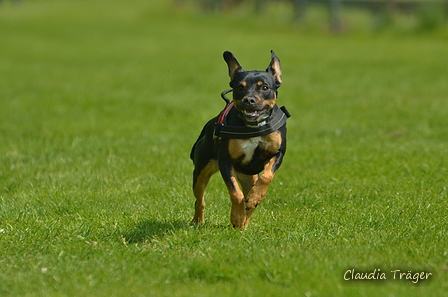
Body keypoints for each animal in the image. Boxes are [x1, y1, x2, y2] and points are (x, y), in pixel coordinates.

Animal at [190, 50, 290, 227]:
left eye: (265, 87)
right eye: (239, 87)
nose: (249, 99)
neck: (253, 126)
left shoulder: (277, 153)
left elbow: (266, 177)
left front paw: (254, 199)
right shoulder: (225, 161)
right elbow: (235, 193)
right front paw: (236, 217)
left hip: (248, 177)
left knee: (250, 196)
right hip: (201, 170)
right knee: (199, 198)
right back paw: (199, 221)